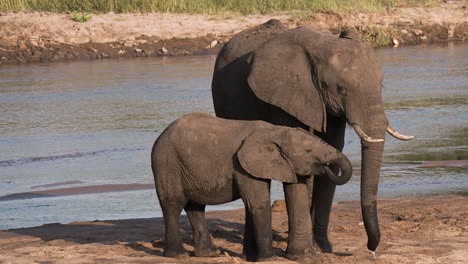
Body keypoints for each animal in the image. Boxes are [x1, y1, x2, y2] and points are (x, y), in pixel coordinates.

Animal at [150, 112, 352, 260]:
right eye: (309, 151)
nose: (327, 168)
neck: (276, 131)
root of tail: (161, 136)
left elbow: (291, 192)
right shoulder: (241, 165)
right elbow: (259, 204)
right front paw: (270, 259)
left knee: (195, 207)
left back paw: (209, 254)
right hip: (167, 163)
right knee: (173, 205)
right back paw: (178, 255)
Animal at [212, 19, 414, 254]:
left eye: (381, 85)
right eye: (341, 89)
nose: (371, 248)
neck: (323, 46)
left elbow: (334, 150)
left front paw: (323, 247)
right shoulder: (286, 97)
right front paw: (307, 250)